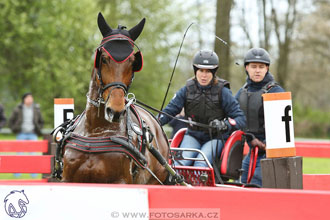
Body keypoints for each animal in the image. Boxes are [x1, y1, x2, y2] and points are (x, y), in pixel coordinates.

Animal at [57, 12, 169, 185]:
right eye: (103, 58)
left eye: (133, 63)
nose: (115, 111)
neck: (96, 132)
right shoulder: (68, 180)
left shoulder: (120, 182)